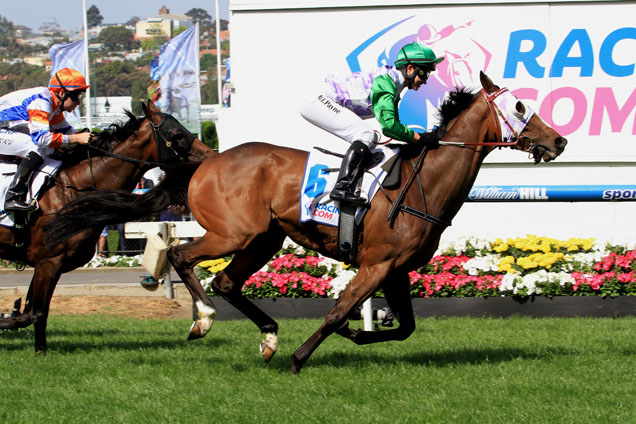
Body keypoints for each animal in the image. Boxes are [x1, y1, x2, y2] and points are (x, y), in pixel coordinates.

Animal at [0, 102, 214, 352]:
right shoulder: (48, 262)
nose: (211, 156)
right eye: (177, 134)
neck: (73, 189)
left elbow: (27, 313)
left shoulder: (48, 264)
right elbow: (38, 313)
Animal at [47, 72, 568, 372]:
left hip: (264, 239)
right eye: (520, 107)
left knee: (228, 283)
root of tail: (207, 160)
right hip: (232, 232)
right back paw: (205, 321)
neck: (421, 183)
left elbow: (404, 326)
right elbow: (339, 311)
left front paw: (359, 332)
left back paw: (268, 338)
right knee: (181, 255)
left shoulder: (395, 268)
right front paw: (304, 357)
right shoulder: (376, 264)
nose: (558, 141)